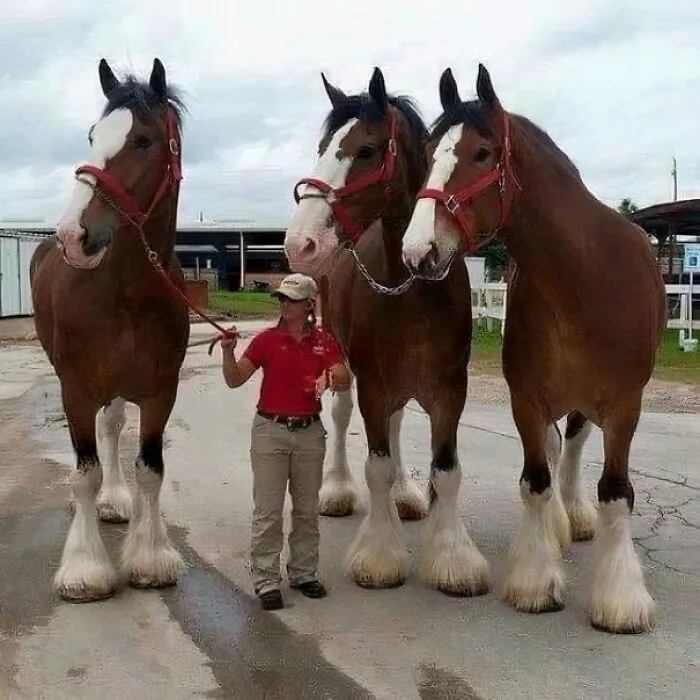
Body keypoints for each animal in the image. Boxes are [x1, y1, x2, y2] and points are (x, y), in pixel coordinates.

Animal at [30, 57, 190, 602]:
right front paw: (84, 568)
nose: (72, 236)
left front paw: (150, 556)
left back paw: (116, 500)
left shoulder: (161, 391)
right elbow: (84, 474)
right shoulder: (75, 390)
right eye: (92, 136)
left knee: (114, 425)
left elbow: (151, 470)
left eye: (142, 140)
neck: (127, 293)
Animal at [284, 67, 490, 597]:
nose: (300, 243)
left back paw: (403, 494)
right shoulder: (373, 385)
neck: (414, 288)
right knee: (340, 416)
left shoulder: (449, 390)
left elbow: (447, 470)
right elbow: (374, 465)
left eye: (366, 150)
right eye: (323, 146)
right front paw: (379, 556)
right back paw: (336, 488)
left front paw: (452, 558)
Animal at [401, 64, 666, 633]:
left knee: (576, 446)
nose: (418, 251)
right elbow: (535, 481)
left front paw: (620, 600)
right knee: (554, 449)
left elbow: (615, 494)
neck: (583, 282)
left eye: (482, 153)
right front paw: (536, 580)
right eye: (430, 151)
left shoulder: (625, 406)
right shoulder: (525, 398)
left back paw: (577, 518)